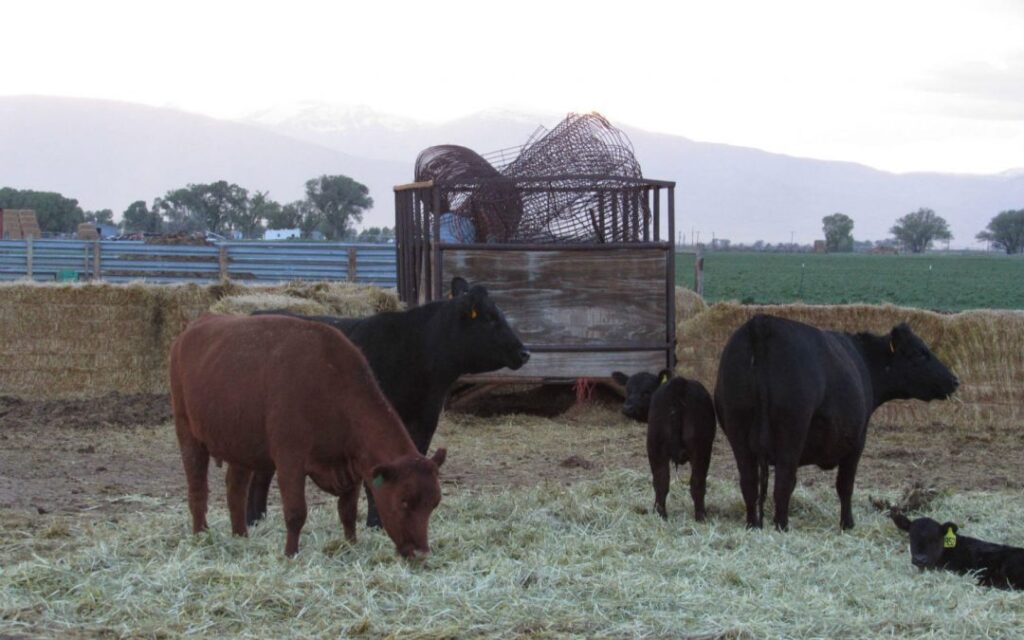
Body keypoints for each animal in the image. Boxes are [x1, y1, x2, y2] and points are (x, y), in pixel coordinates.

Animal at [169, 315, 446, 557]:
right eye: (403, 501)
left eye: (434, 503)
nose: (421, 553)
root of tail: (193, 328)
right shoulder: (290, 461)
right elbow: (296, 512)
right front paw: (291, 553)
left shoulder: (353, 464)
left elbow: (348, 511)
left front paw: (351, 545)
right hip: (187, 433)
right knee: (198, 488)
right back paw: (201, 535)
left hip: (239, 444)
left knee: (235, 490)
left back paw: (241, 537)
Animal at [643, 376, 716, 522]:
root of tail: (679, 383)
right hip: (701, 449)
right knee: (697, 482)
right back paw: (701, 516)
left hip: (655, 446)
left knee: (661, 481)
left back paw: (661, 514)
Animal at [712, 313, 958, 528]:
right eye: (919, 353)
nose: (954, 380)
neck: (864, 361)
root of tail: (762, 322)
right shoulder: (857, 441)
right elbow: (845, 486)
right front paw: (847, 523)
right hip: (791, 434)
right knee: (783, 482)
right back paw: (782, 526)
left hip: (738, 433)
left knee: (749, 482)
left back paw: (753, 525)